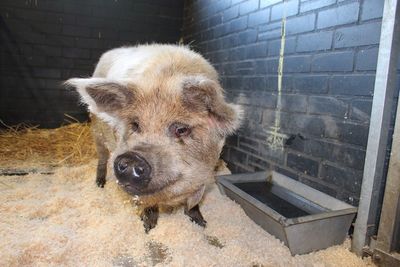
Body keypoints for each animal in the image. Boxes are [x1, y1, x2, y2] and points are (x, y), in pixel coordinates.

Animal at [66, 44, 241, 232]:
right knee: (102, 158)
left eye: (181, 129)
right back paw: (99, 184)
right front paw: (148, 228)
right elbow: (148, 203)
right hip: (96, 131)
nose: (132, 157)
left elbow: (194, 202)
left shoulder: (208, 171)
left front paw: (201, 224)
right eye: (135, 124)